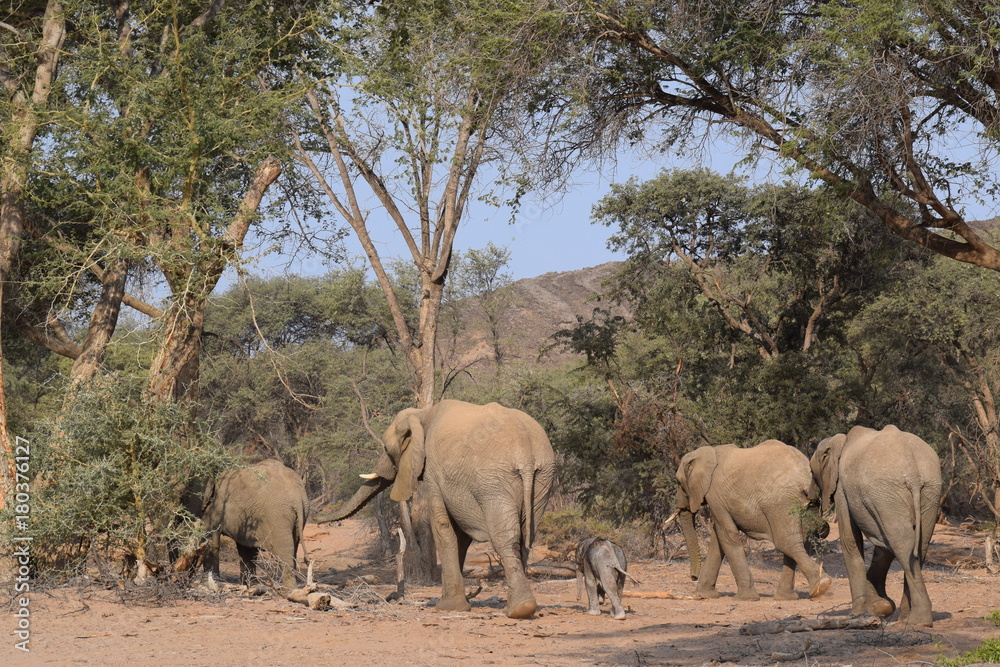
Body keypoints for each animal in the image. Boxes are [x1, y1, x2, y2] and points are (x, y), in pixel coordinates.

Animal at [182, 459, 310, 589]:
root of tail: (297, 496)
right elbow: (247, 549)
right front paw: (250, 585)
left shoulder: (214, 506)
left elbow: (211, 541)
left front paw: (209, 582)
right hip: (299, 516)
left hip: (277, 516)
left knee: (283, 553)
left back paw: (289, 589)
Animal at [318, 399, 556, 619]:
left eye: (386, 449)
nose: (318, 517)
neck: (422, 415)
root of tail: (526, 456)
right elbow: (460, 536)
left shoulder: (432, 470)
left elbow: (443, 525)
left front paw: (448, 607)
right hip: (542, 478)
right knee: (526, 537)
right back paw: (516, 606)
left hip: (493, 481)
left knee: (505, 538)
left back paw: (519, 610)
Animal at [675, 440, 832, 601]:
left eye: (679, 482)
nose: (693, 577)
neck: (705, 453)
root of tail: (804, 475)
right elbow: (718, 539)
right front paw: (704, 595)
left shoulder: (715, 495)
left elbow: (727, 534)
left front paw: (745, 598)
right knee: (802, 540)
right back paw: (787, 597)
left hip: (779, 502)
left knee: (786, 543)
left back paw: (821, 585)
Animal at [810, 425, 942, 627]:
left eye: (811, 472)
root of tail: (912, 473)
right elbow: (882, 545)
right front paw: (880, 606)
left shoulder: (842, 489)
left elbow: (850, 540)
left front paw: (857, 614)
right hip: (927, 491)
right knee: (917, 545)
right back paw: (907, 620)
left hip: (886, 493)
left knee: (901, 544)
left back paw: (917, 622)